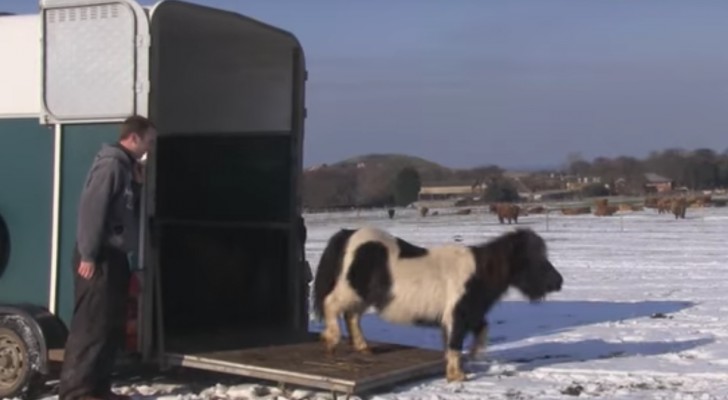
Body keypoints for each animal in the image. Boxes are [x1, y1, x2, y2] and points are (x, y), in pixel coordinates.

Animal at [312, 227, 564, 382]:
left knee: (352, 316)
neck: (479, 273)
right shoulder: (457, 316)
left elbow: (481, 330)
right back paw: (331, 340)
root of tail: (348, 234)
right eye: (535, 259)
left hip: (362, 296)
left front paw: (471, 356)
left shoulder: (469, 314)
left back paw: (363, 347)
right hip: (350, 290)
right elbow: (455, 343)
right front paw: (456, 376)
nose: (559, 282)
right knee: (331, 304)